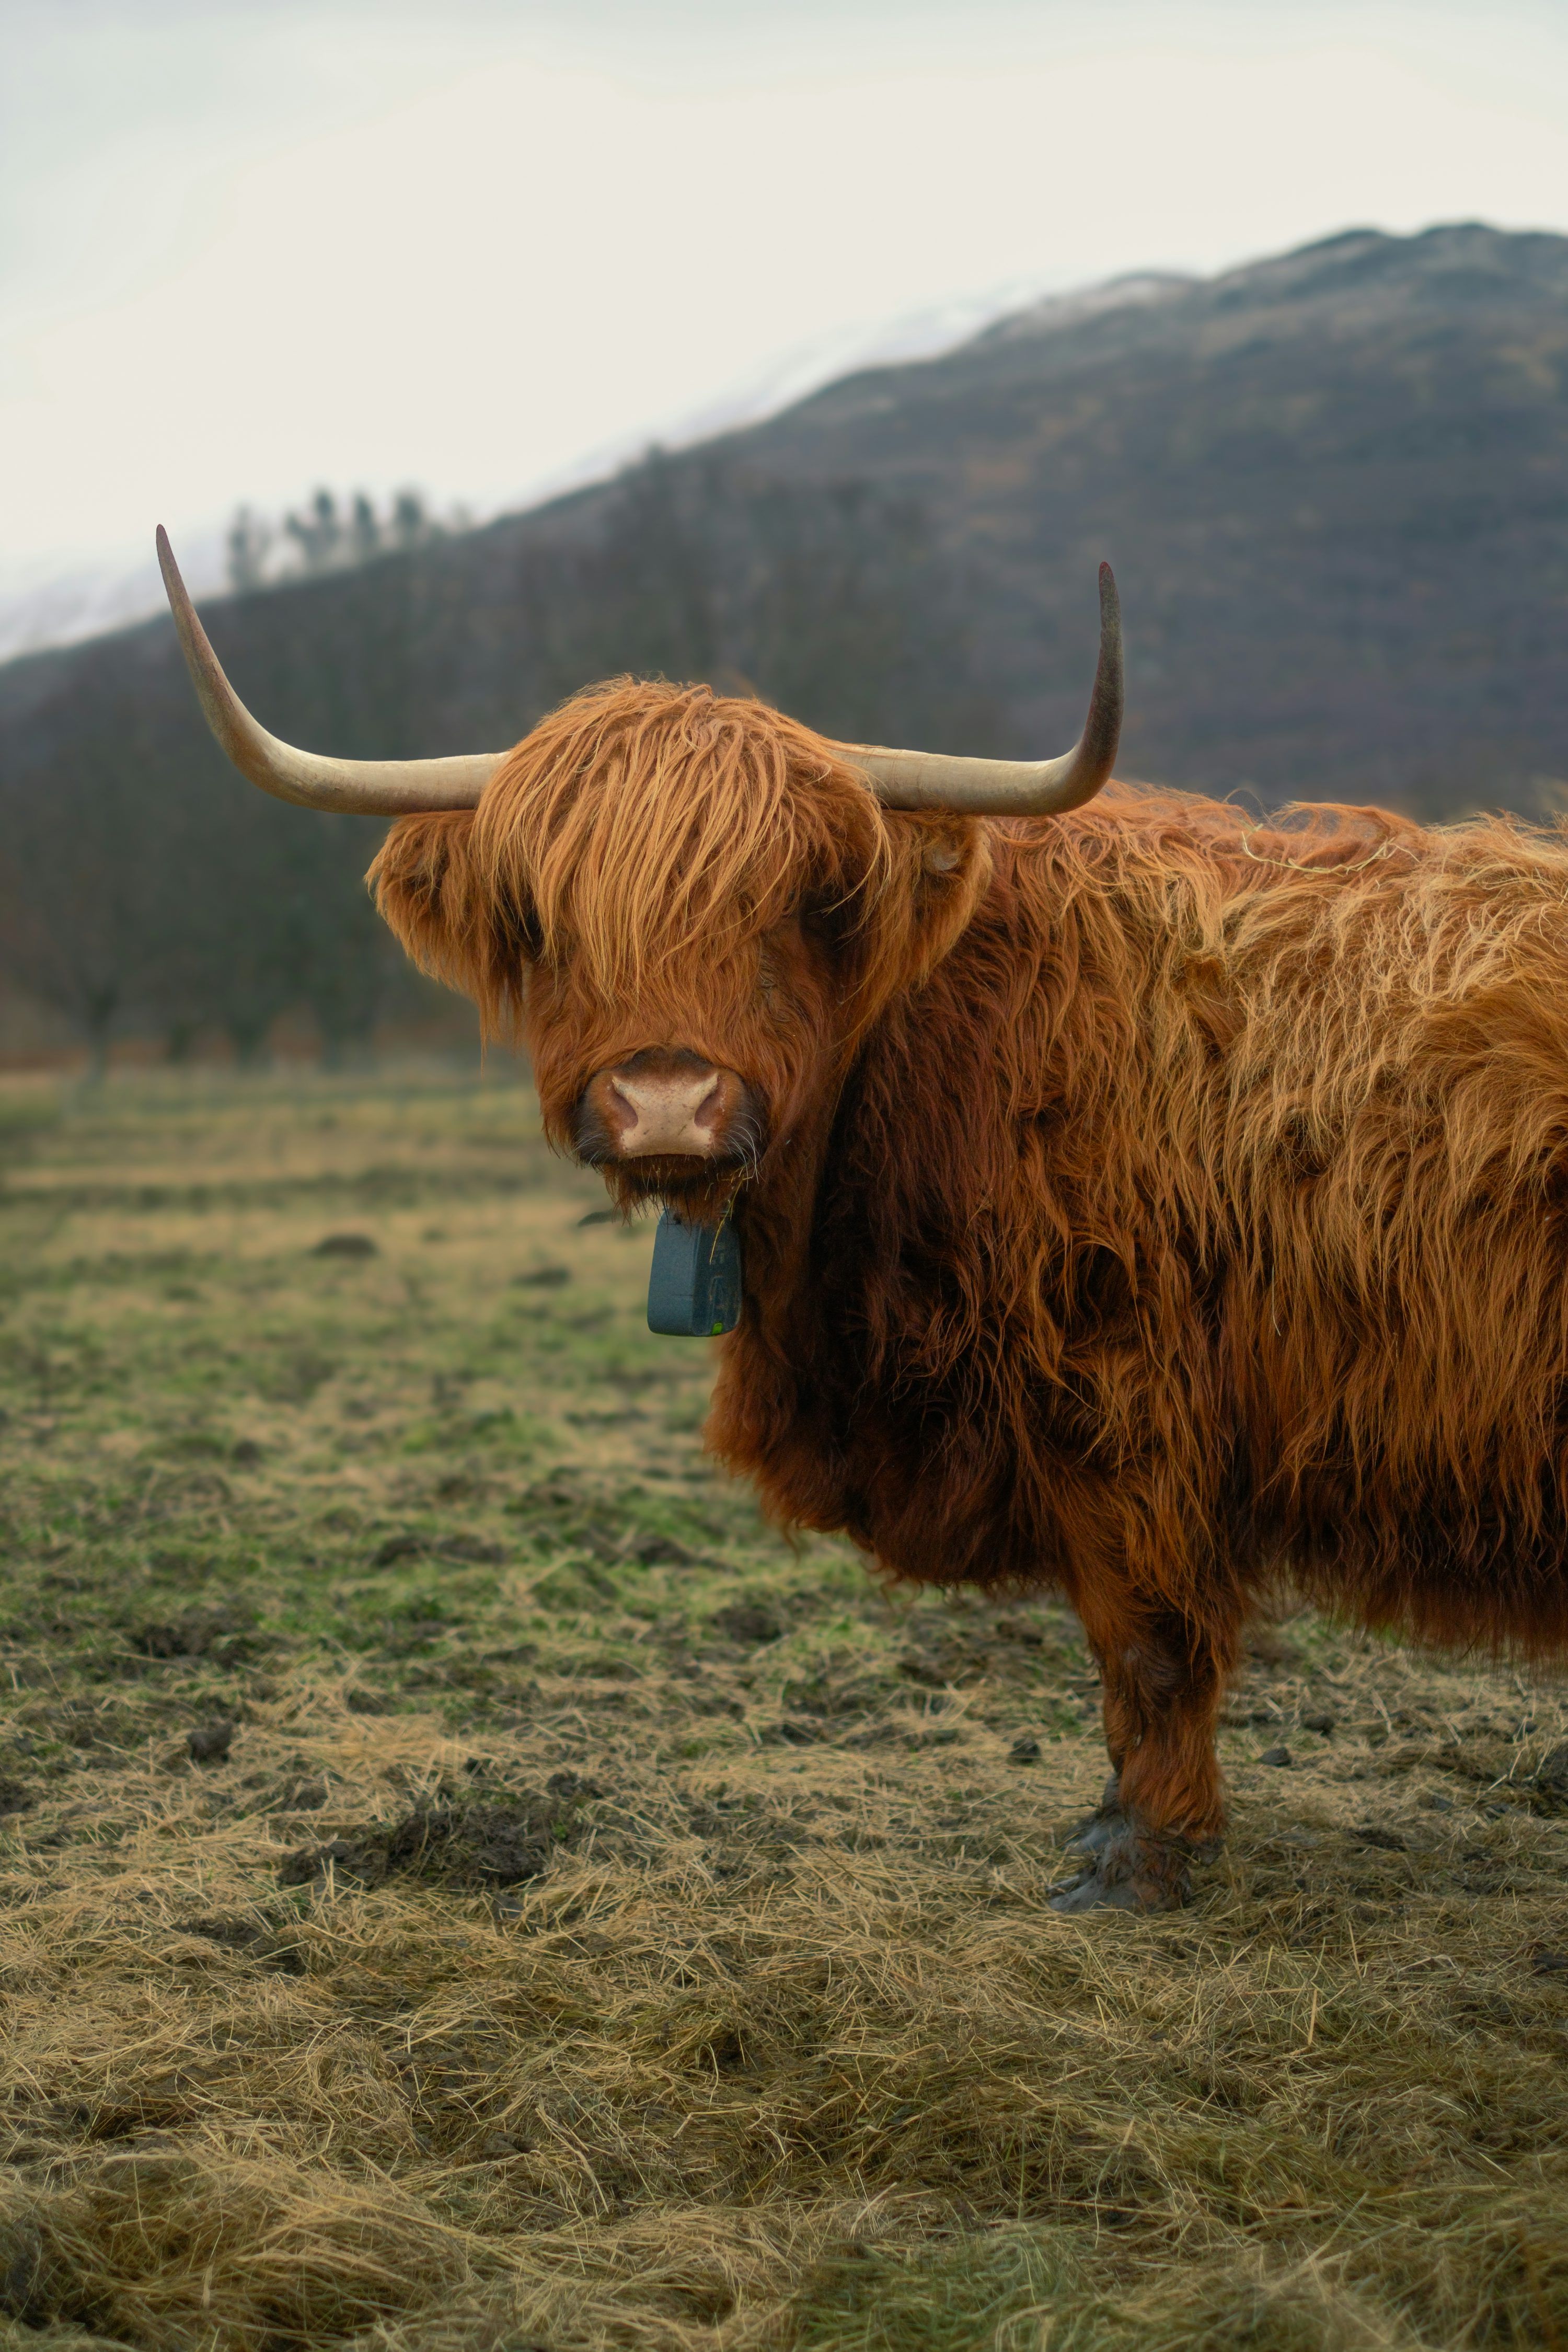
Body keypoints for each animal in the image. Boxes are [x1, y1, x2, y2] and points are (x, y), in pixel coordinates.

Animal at [157, 526, 1568, 1911]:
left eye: (793, 906)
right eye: (550, 920)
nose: (665, 1100)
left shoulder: (1124, 1406)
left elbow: (1147, 1644)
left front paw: (1136, 1856)